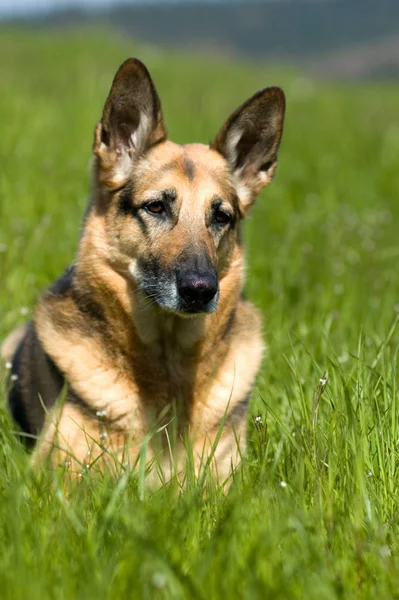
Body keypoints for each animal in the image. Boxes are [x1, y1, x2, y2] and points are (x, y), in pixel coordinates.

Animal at [1, 59, 286, 482]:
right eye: (156, 207)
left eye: (221, 217)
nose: (200, 290)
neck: (167, 367)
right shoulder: (59, 477)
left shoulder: (227, 481)